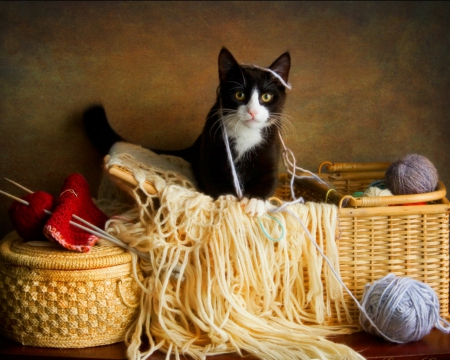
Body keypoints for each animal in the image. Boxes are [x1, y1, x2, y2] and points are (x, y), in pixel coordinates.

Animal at [82, 47, 290, 217]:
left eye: (266, 97)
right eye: (239, 95)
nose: (253, 111)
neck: (246, 133)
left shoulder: (270, 150)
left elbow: (269, 180)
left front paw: (255, 202)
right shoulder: (210, 149)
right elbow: (212, 176)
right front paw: (228, 198)